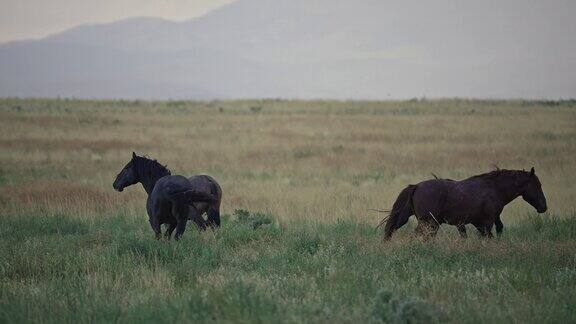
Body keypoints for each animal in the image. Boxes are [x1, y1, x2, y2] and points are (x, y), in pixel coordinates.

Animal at [382, 167, 548, 240]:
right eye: (537, 185)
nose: (544, 207)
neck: (494, 188)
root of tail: (416, 186)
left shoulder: (479, 223)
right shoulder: (486, 222)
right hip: (428, 223)